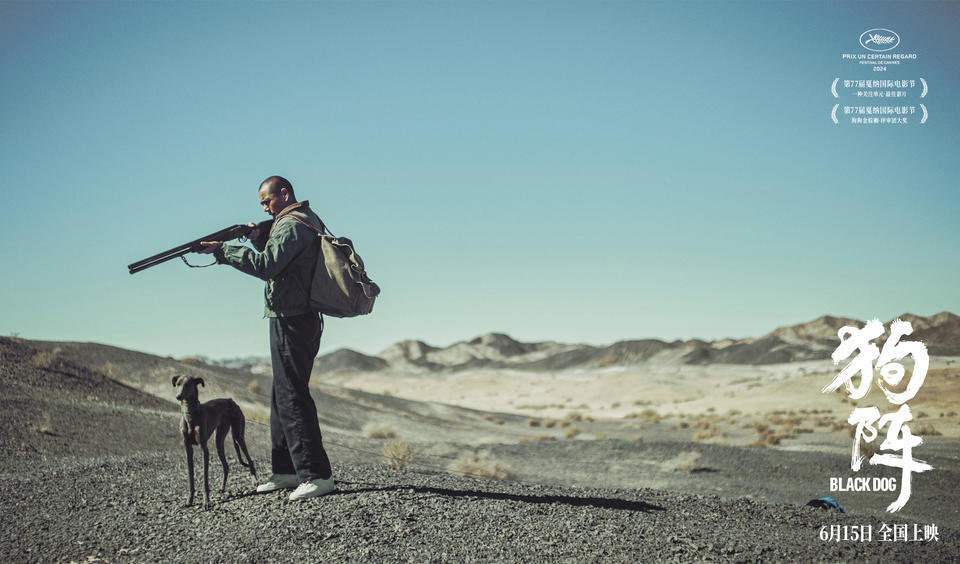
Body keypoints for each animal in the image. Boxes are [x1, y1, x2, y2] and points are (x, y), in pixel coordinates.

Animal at [171, 376, 256, 508]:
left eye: (188, 384)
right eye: (178, 384)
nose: (178, 396)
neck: (190, 415)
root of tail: (231, 400)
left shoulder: (204, 449)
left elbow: (205, 479)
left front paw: (206, 502)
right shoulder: (188, 449)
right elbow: (191, 478)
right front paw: (189, 501)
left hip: (238, 436)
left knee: (250, 460)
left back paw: (255, 482)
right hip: (219, 441)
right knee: (226, 466)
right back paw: (222, 488)